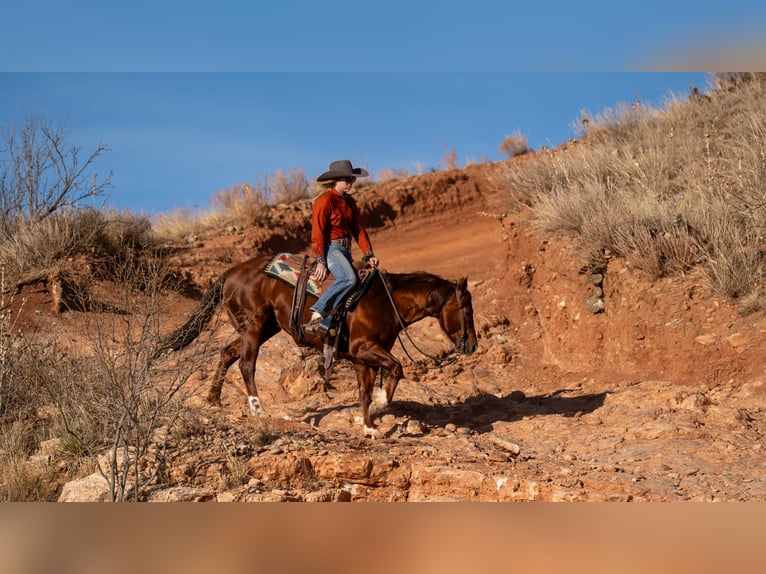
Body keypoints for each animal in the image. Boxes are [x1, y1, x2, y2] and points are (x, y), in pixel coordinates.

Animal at [159, 253, 478, 437]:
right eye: (466, 310)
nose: (473, 345)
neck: (386, 303)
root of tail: (230, 273)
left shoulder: (363, 359)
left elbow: (364, 390)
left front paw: (369, 425)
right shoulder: (364, 350)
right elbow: (396, 370)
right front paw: (379, 407)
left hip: (266, 328)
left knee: (226, 353)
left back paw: (213, 399)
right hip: (253, 327)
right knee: (246, 364)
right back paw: (257, 409)